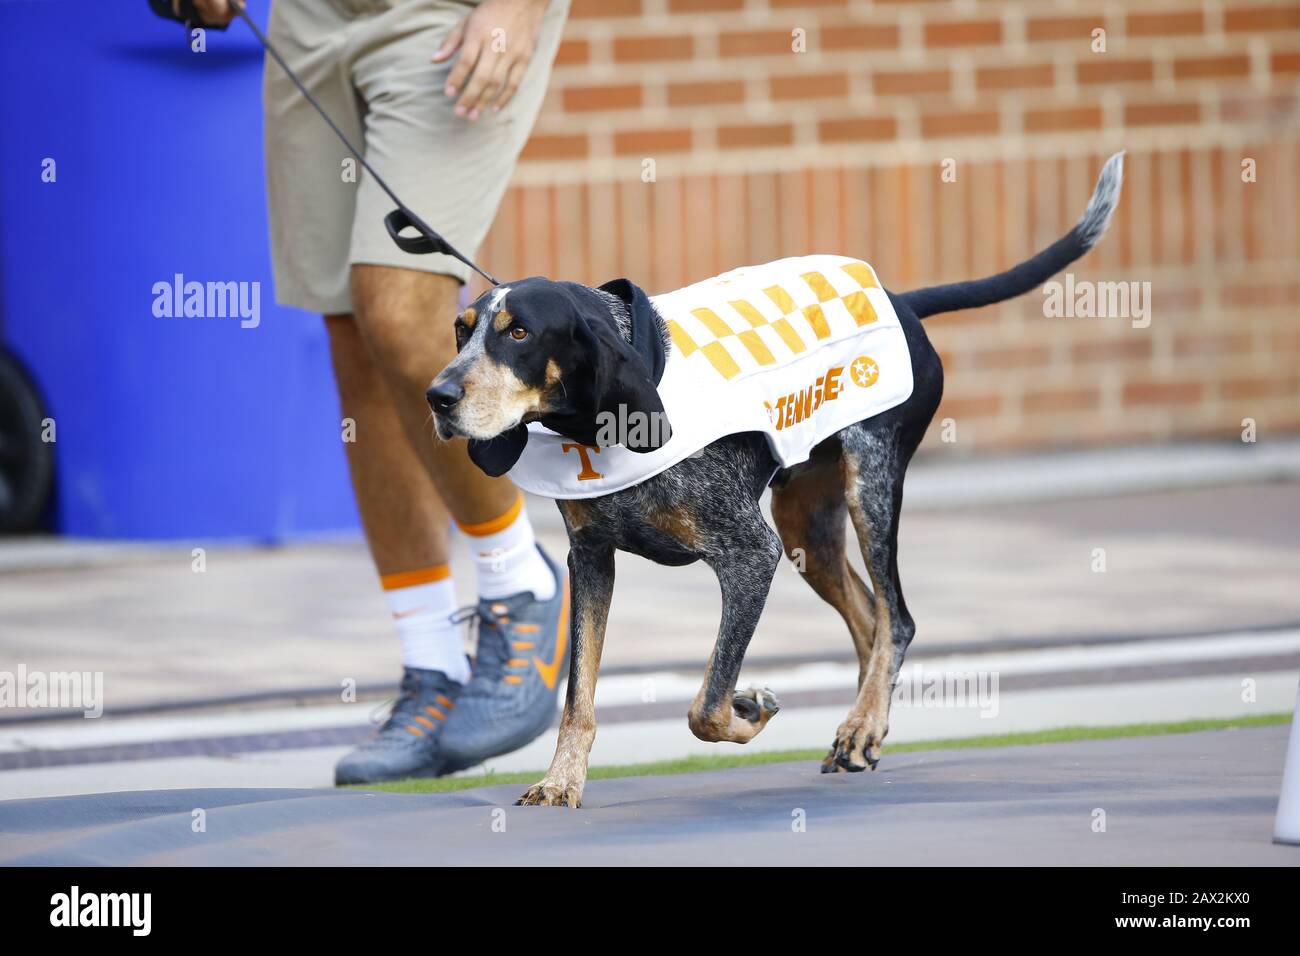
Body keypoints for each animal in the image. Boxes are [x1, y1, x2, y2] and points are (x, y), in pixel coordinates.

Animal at [428, 151, 1128, 806]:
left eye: (519, 333)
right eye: (460, 331)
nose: (437, 396)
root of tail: (901, 303)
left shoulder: (749, 556)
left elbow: (706, 706)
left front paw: (749, 707)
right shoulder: (593, 560)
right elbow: (579, 699)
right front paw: (561, 782)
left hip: (867, 489)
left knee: (898, 620)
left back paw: (862, 725)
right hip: (805, 528)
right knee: (872, 622)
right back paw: (863, 729)